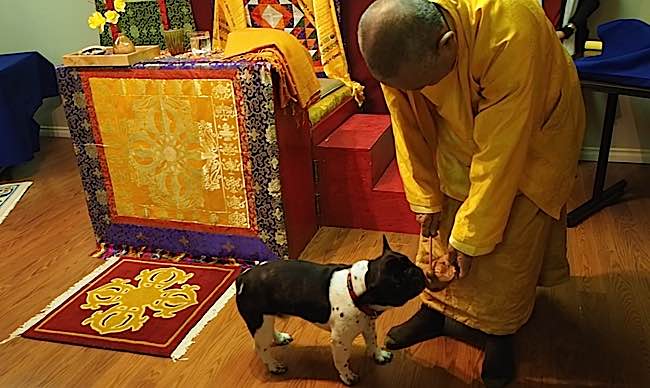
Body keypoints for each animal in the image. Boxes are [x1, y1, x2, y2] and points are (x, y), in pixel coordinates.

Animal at [234, 236, 426, 384]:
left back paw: (280, 337)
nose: (416, 272)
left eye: (408, 261)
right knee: (262, 347)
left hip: (266, 318)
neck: (358, 286)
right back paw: (274, 365)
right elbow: (342, 361)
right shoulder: (340, 341)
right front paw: (347, 376)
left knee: (270, 330)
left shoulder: (368, 325)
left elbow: (372, 341)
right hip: (259, 321)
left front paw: (378, 355)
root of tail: (242, 278)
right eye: (397, 283)